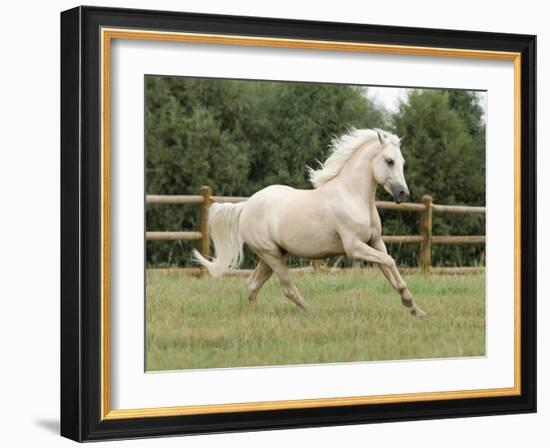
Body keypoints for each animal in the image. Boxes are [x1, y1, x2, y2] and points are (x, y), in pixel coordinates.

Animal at [194, 128, 426, 316]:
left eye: (402, 162)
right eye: (389, 161)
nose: (403, 193)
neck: (353, 196)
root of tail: (247, 205)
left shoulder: (375, 242)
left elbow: (389, 267)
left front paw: (415, 309)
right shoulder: (354, 247)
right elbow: (389, 262)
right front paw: (409, 302)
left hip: (271, 256)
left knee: (252, 285)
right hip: (271, 254)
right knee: (287, 288)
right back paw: (312, 312)